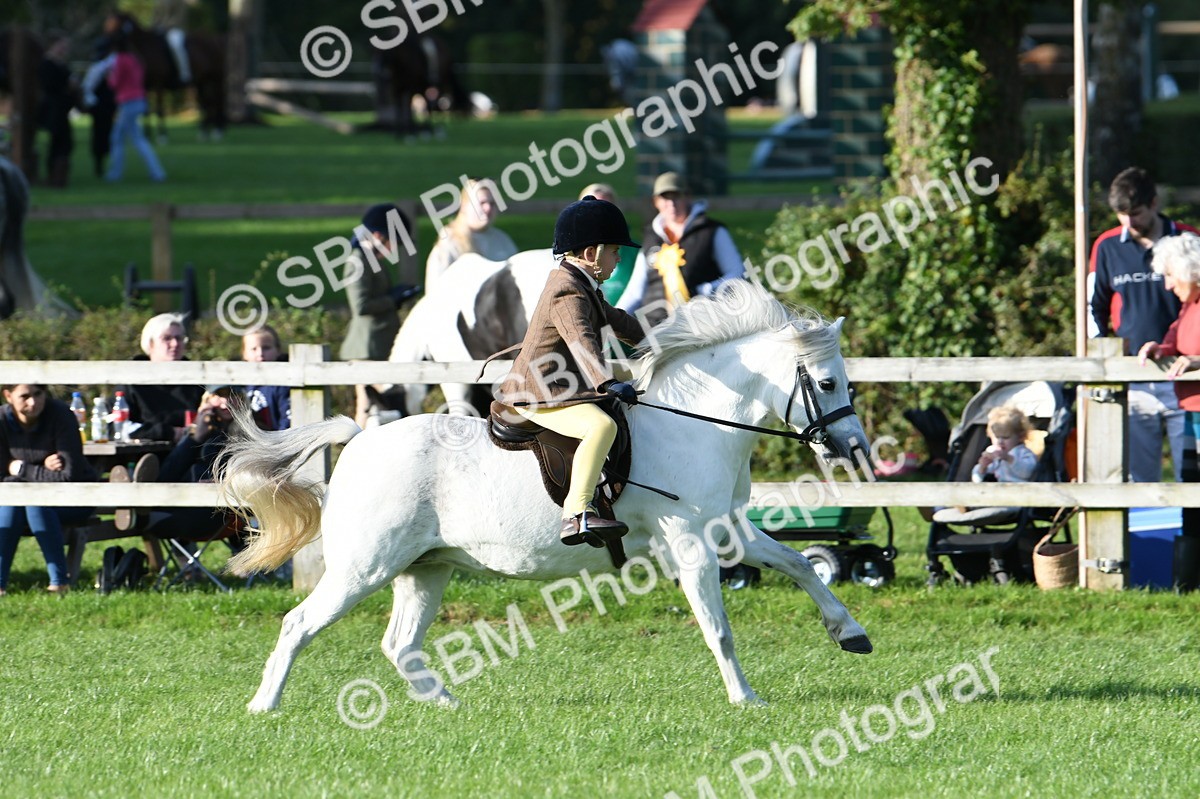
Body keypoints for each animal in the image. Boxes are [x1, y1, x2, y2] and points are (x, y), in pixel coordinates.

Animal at [104, 12, 226, 140]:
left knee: (218, 101)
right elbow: (146, 110)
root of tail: (215, 39)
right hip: (201, 81)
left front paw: (162, 135)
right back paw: (204, 132)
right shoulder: (145, 86)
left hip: (217, 79)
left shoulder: (159, 84)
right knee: (205, 102)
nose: (104, 44)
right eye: (106, 26)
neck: (146, 48)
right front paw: (147, 135)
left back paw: (218, 130)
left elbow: (159, 109)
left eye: (116, 26)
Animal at [218, 281, 873, 712]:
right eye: (826, 382)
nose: (853, 447)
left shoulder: (728, 532)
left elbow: (800, 565)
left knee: (400, 644)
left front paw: (850, 634)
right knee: (299, 624)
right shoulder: (691, 544)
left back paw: (448, 705)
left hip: (424, 568)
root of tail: (357, 442)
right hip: (364, 567)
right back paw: (263, 707)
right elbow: (719, 627)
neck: (696, 423)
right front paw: (745, 698)